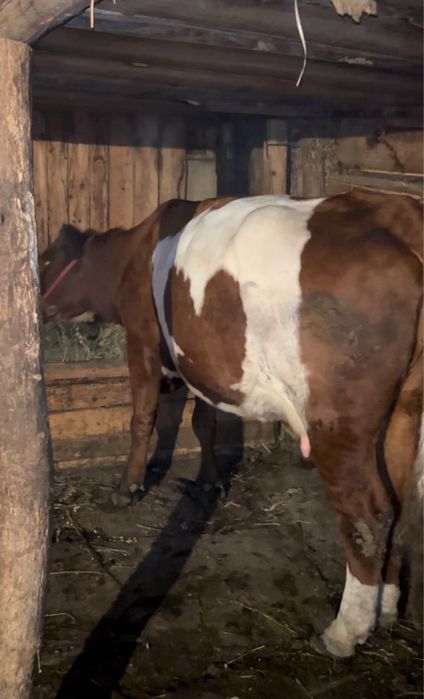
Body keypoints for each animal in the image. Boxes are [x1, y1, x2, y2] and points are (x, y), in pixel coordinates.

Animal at [39, 189, 423, 658]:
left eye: (45, 260)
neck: (137, 250)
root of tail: (397, 213)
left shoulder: (142, 341)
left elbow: (142, 418)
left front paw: (127, 488)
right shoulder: (207, 363)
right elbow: (206, 422)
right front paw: (210, 482)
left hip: (339, 420)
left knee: (370, 515)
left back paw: (345, 630)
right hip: (404, 411)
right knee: (400, 506)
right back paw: (385, 609)